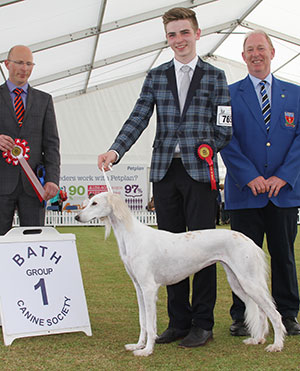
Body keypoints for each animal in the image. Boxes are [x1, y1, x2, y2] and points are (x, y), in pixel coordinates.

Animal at [75, 192, 286, 358]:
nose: (77, 217)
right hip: (238, 282)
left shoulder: (149, 289)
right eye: (89, 201)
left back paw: (276, 345)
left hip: (248, 281)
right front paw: (138, 345)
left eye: (95, 203)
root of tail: (249, 241)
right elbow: (143, 322)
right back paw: (257, 339)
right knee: (261, 311)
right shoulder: (139, 288)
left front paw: (147, 350)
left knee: (275, 314)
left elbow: (150, 324)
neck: (132, 236)